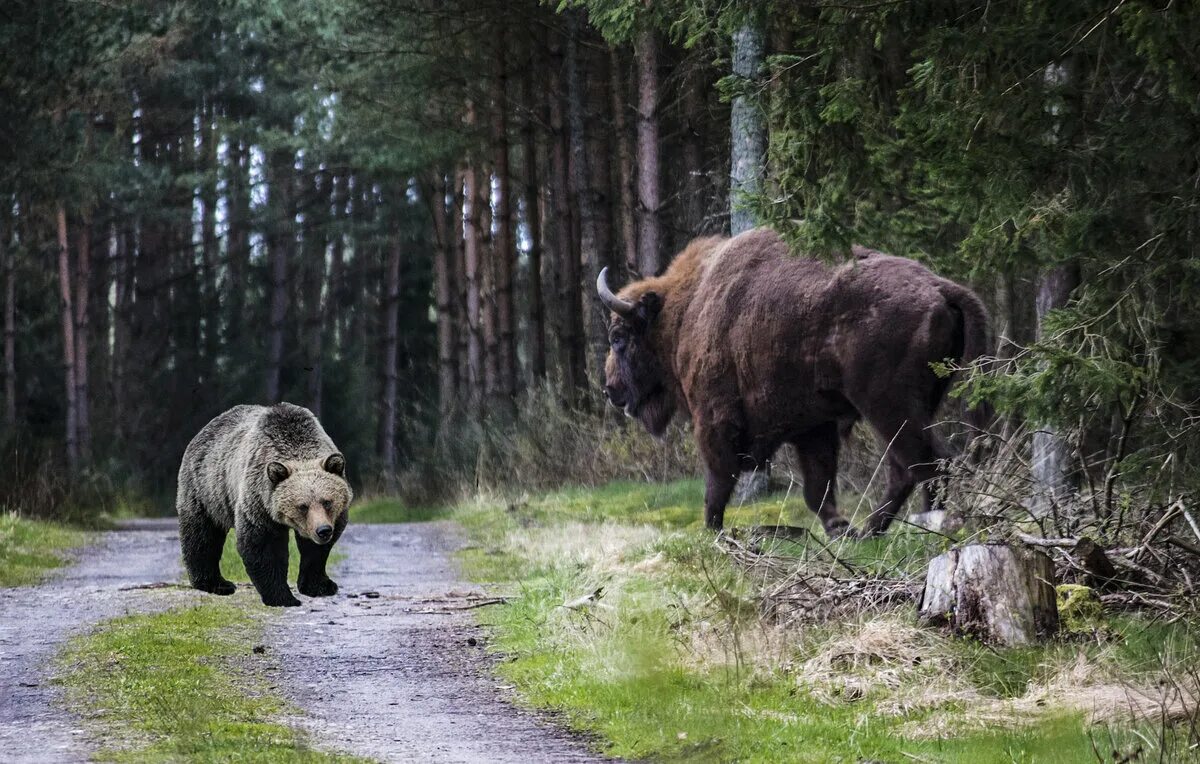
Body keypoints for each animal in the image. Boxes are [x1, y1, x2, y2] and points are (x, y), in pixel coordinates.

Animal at [175, 402, 350, 604]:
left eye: (327, 502)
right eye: (302, 506)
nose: (323, 530)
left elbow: (315, 551)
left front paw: (321, 586)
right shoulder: (259, 502)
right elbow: (264, 546)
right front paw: (283, 597)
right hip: (206, 490)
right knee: (202, 535)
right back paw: (216, 584)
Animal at [597, 227, 984, 537]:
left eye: (618, 337)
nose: (611, 390)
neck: (685, 311)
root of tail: (939, 287)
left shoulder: (714, 420)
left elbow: (717, 483)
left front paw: (712, 532)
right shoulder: (813, 427)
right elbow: (817, 487)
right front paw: (838, 529)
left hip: (888, 408)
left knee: (925, 463)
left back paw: (912, 527)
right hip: (915, 406)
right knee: (912, 467)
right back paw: (870, 531)